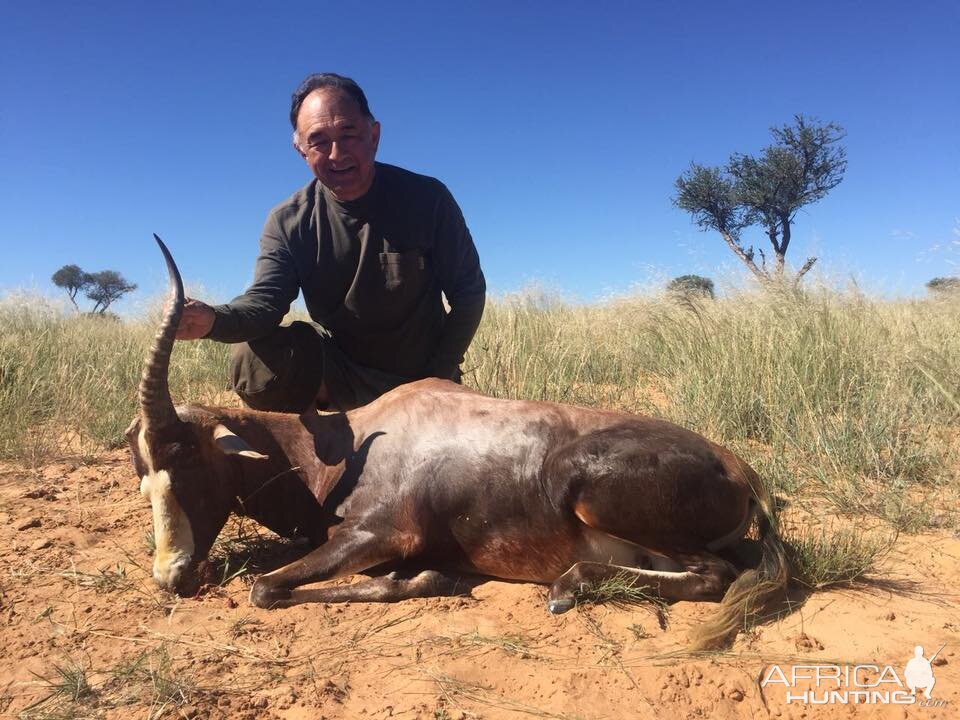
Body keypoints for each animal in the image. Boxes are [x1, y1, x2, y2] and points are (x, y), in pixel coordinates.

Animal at [127, 235, 788, 648]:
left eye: (189, 465)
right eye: (143, 475)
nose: (170, 576)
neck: (352, 441)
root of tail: (741, 471)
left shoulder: (383, 534)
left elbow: (267, 587)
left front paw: (425, 579)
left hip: (599, 496)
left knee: (715, 576)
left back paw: (564, 589)